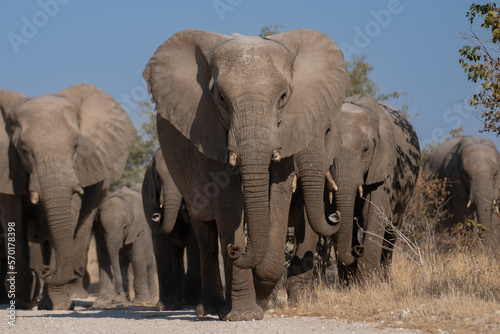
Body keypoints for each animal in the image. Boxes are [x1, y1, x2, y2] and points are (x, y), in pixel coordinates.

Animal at [0, 84, 137, 310]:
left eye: (76, 146)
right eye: (23, 149)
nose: (46, 271)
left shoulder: (80, 166)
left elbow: (71, 214)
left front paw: (59, 306)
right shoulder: (8, 165)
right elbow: (12, 218)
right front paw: (23, 301)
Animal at [141, 148, 201, 310]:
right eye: (157, 176)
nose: (156, 216)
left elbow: (194, 234)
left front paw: (191, 302)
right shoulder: (151, 193)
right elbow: (159, 238)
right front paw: (167, 307)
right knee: (175, 252)